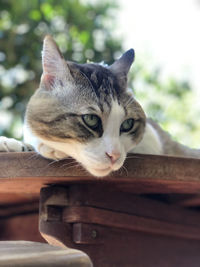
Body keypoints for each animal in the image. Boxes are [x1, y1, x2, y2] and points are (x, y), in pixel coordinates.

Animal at [0, 35, 199, 178]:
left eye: (128, 124)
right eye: (91, 119)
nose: (114, 156)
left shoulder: (154, 139)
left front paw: (49, 147)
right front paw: (11, 143)